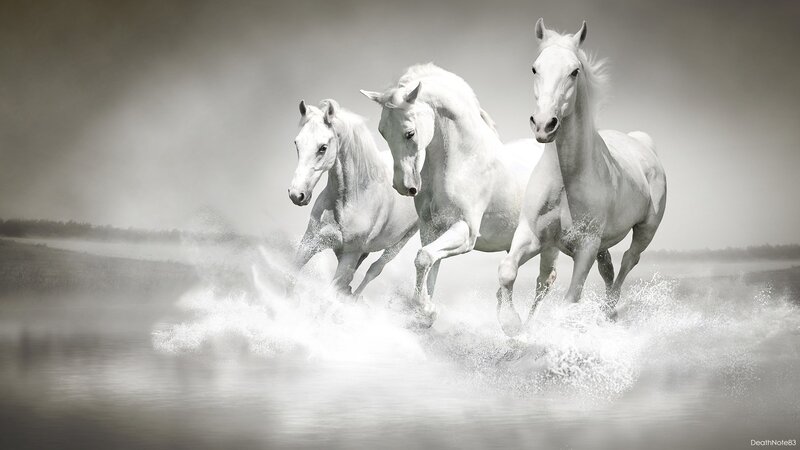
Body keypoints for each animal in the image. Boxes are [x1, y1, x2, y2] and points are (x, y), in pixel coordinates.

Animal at [288, 99, 418, 296]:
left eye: (323, 148)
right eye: (297, 143)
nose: (296, 195)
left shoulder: (349, 255)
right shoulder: (310, 242)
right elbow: (290, 278)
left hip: (401, 241)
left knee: (374, 270)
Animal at [361, 63, 550, 327]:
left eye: (409, 133)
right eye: (382, 132)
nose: (403, 186)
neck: (464, 160)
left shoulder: (465, 231)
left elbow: (423, 258)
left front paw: (425, 309)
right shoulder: (432, 229)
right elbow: (430, 264)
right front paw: (425, 312)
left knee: (546, 281)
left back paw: (524, 327)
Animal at [496, 19, 667, 335]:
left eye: (574, 71)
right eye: (535, 68)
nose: (544, 125)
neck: (566, 179)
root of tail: (643, 144)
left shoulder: (586, 246)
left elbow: (571, 299)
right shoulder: (532, 235)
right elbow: (507, 270)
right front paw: (512, 324)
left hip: (646, 229)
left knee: (629, 260)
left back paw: (609, 312)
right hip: (600, 244)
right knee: (606, 268)